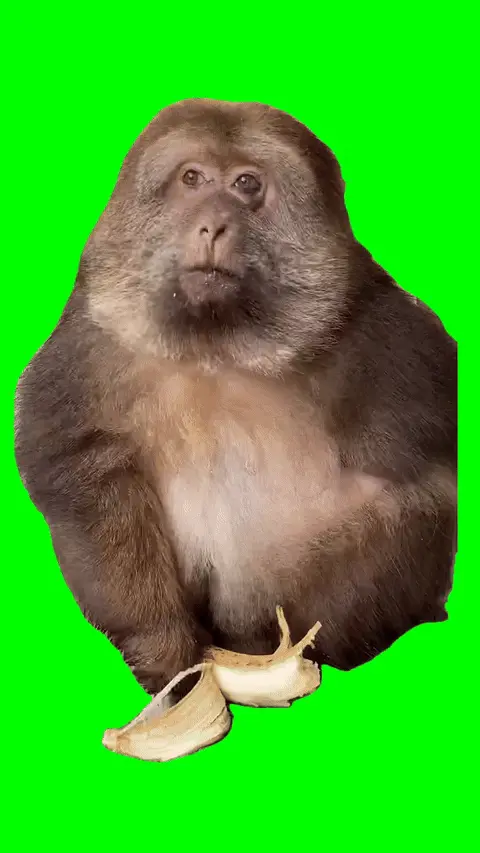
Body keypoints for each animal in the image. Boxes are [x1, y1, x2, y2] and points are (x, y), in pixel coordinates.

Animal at [14, 99, 457, 701]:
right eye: (192, 179)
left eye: (247, 184)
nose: (213, 223)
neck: (218, 346)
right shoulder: (96, 340)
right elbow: (83, 467)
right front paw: (163, 650)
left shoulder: (379, 329)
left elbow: (424, 462)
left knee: (419, 504)